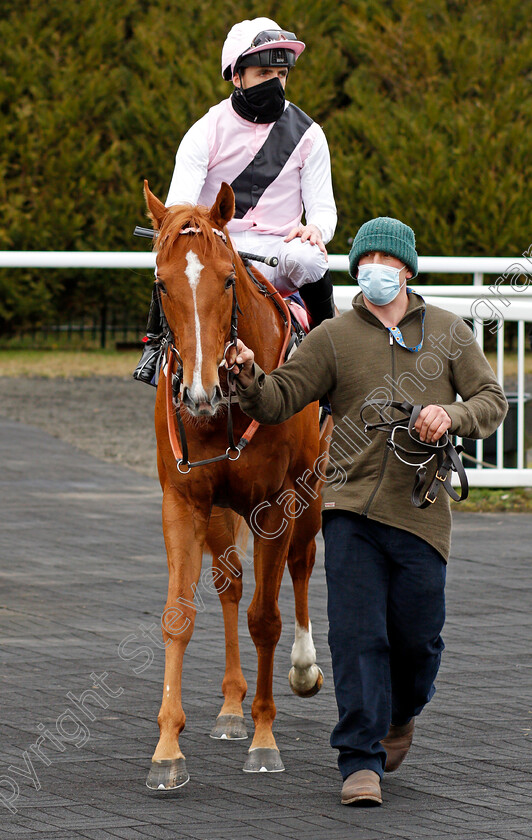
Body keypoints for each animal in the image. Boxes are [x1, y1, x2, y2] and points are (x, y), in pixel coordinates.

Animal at [143, 180, 330, 792]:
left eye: (228, 279)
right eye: (162, 282)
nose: (198, 393)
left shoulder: (275, 504)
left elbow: (265, 619)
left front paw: (264, 740)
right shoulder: (182, 502)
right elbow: (179, 615)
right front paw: (167, 751)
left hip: (310, 494)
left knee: (301, 563)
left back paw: (303, 667)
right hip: (223, 510)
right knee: (230, 582)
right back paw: (229, 708)